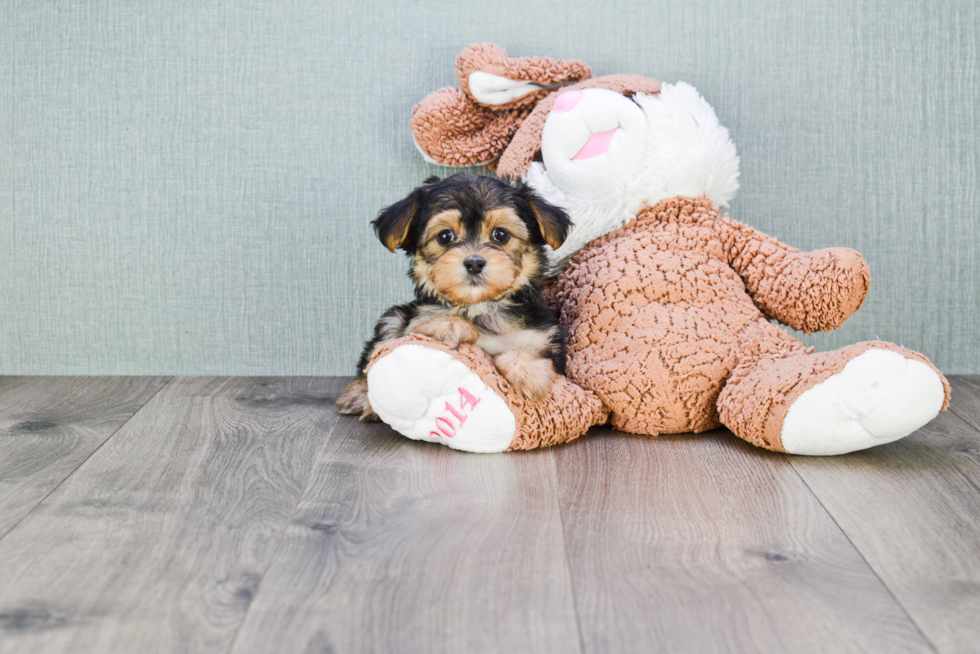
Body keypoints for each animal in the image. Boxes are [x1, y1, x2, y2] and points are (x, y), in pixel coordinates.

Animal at [338, 173, 576, 426]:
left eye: (501, 235)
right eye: (445, 236)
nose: (474, 262)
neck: (481, 306)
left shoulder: (545, 338)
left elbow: (530, 351)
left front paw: (529, 372)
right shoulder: (414, 322)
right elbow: (430, 320)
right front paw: (451, 325)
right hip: (393, 318)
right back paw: (358, 396)